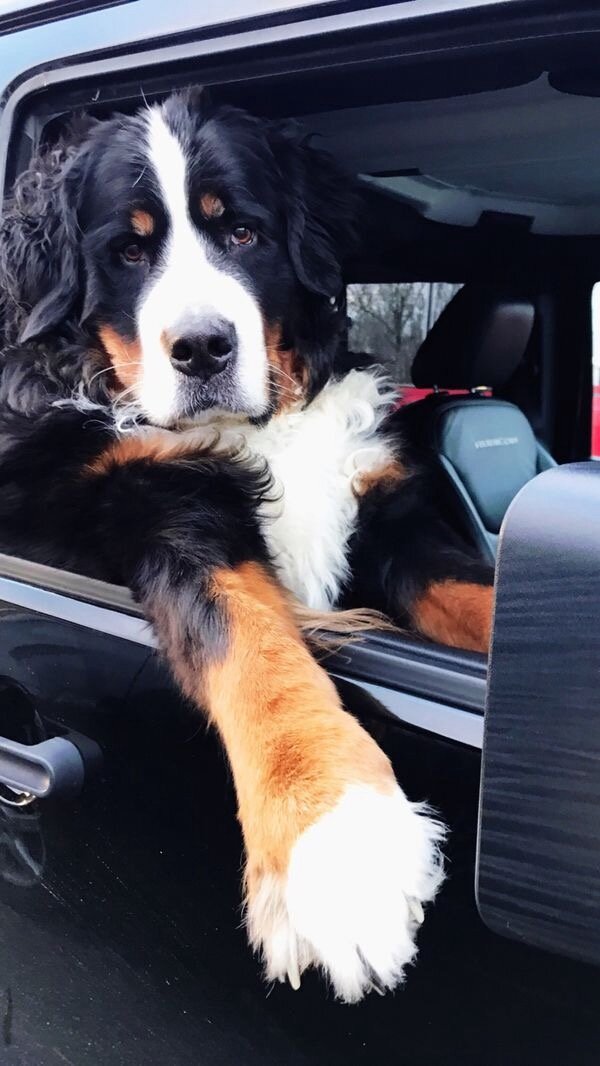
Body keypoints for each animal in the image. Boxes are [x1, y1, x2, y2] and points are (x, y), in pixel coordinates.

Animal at [0, 89, 493, 1001]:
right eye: (129, 250)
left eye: (241, 233)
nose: (202, 347)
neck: (263, 427)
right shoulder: (164, 504)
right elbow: (251, 643)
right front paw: (340, 844)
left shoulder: (389, 517)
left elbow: (471, 589)